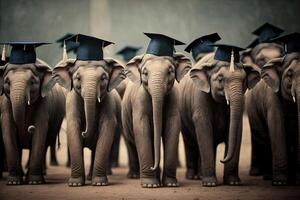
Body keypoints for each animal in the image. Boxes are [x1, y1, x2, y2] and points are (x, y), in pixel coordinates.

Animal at [0, 58, 65, 186]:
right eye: (7, 82)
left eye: (32, 82)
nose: (30, 128)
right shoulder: (5, 104)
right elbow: (8, 132)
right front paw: (13, 182)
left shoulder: (44, 103)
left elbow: (40, 132)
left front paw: (35, 182)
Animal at [52, 58, 125, 187]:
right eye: (78, 78)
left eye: (103, 78)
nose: (84, 133)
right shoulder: (71, 103)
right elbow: (73, 129)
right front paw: (75, 184)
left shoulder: (109, 103)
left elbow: (106, 130)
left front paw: (99, 183)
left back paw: (91, 178)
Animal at [121, 52, 190, 188]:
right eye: (145, 73)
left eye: (170, 71)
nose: (152, 167)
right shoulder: (139, 101)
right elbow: (141, 129)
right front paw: (150, 185)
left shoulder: (175, 99)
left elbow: (173, 127)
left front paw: (171, 184)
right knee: (131, 143)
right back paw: (135, 176)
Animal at [179, 48, 262, 186]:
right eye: (220, 79)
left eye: (244, 81)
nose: (222, 160)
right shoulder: (200, 96)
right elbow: (203, 126)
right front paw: (210, 184)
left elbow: (236, 128)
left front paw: (233, 183)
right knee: (190, 143)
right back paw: (194, 177)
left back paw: (200, 176)